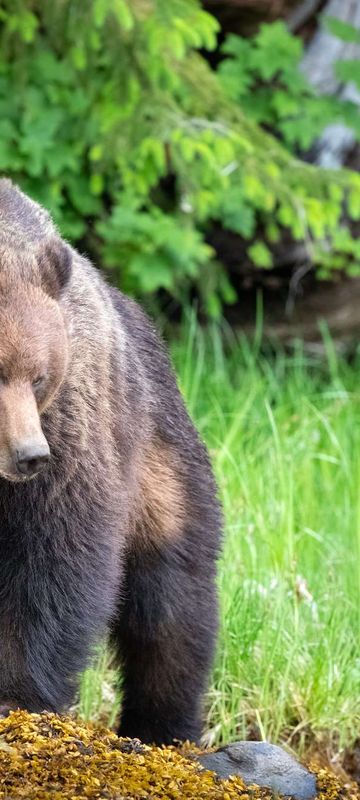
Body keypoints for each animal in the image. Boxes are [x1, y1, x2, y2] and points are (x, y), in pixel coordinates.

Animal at [0, 180, 221, 744]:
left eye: (37, 375)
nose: (28, 456)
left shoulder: (72, 433)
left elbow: (56, 562)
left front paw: (17, 693)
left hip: (162, 474)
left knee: (172, 611)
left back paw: (165, 725)